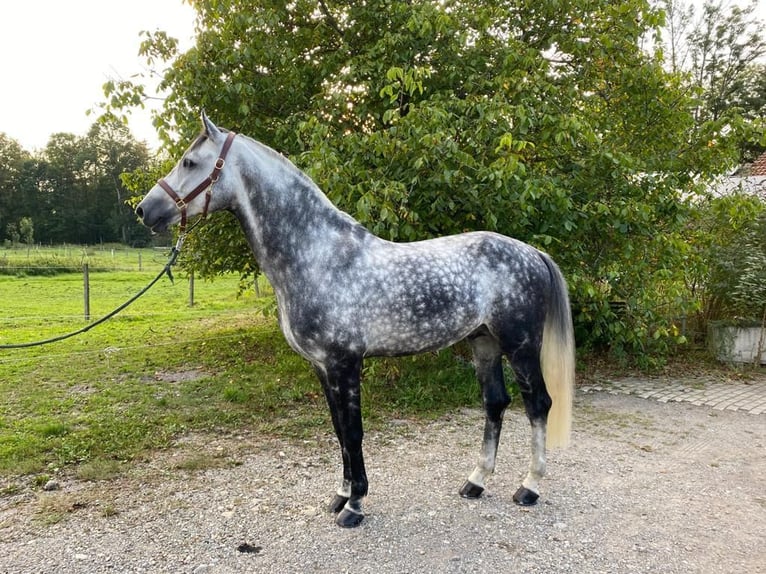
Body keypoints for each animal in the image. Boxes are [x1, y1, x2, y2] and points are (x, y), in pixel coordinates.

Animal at [135, 112, 572, 532]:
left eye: (190, 161)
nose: (144, 210)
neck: (318, 256)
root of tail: (532, 253)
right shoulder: (322, 366)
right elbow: (339, 431)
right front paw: (340, 495)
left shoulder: (345, 363)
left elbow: (354, 431)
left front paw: (355, 505)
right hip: (483, 342)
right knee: (495, 404)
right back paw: (475, 482)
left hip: (520, 345)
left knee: (538, 404)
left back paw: (529, 487)